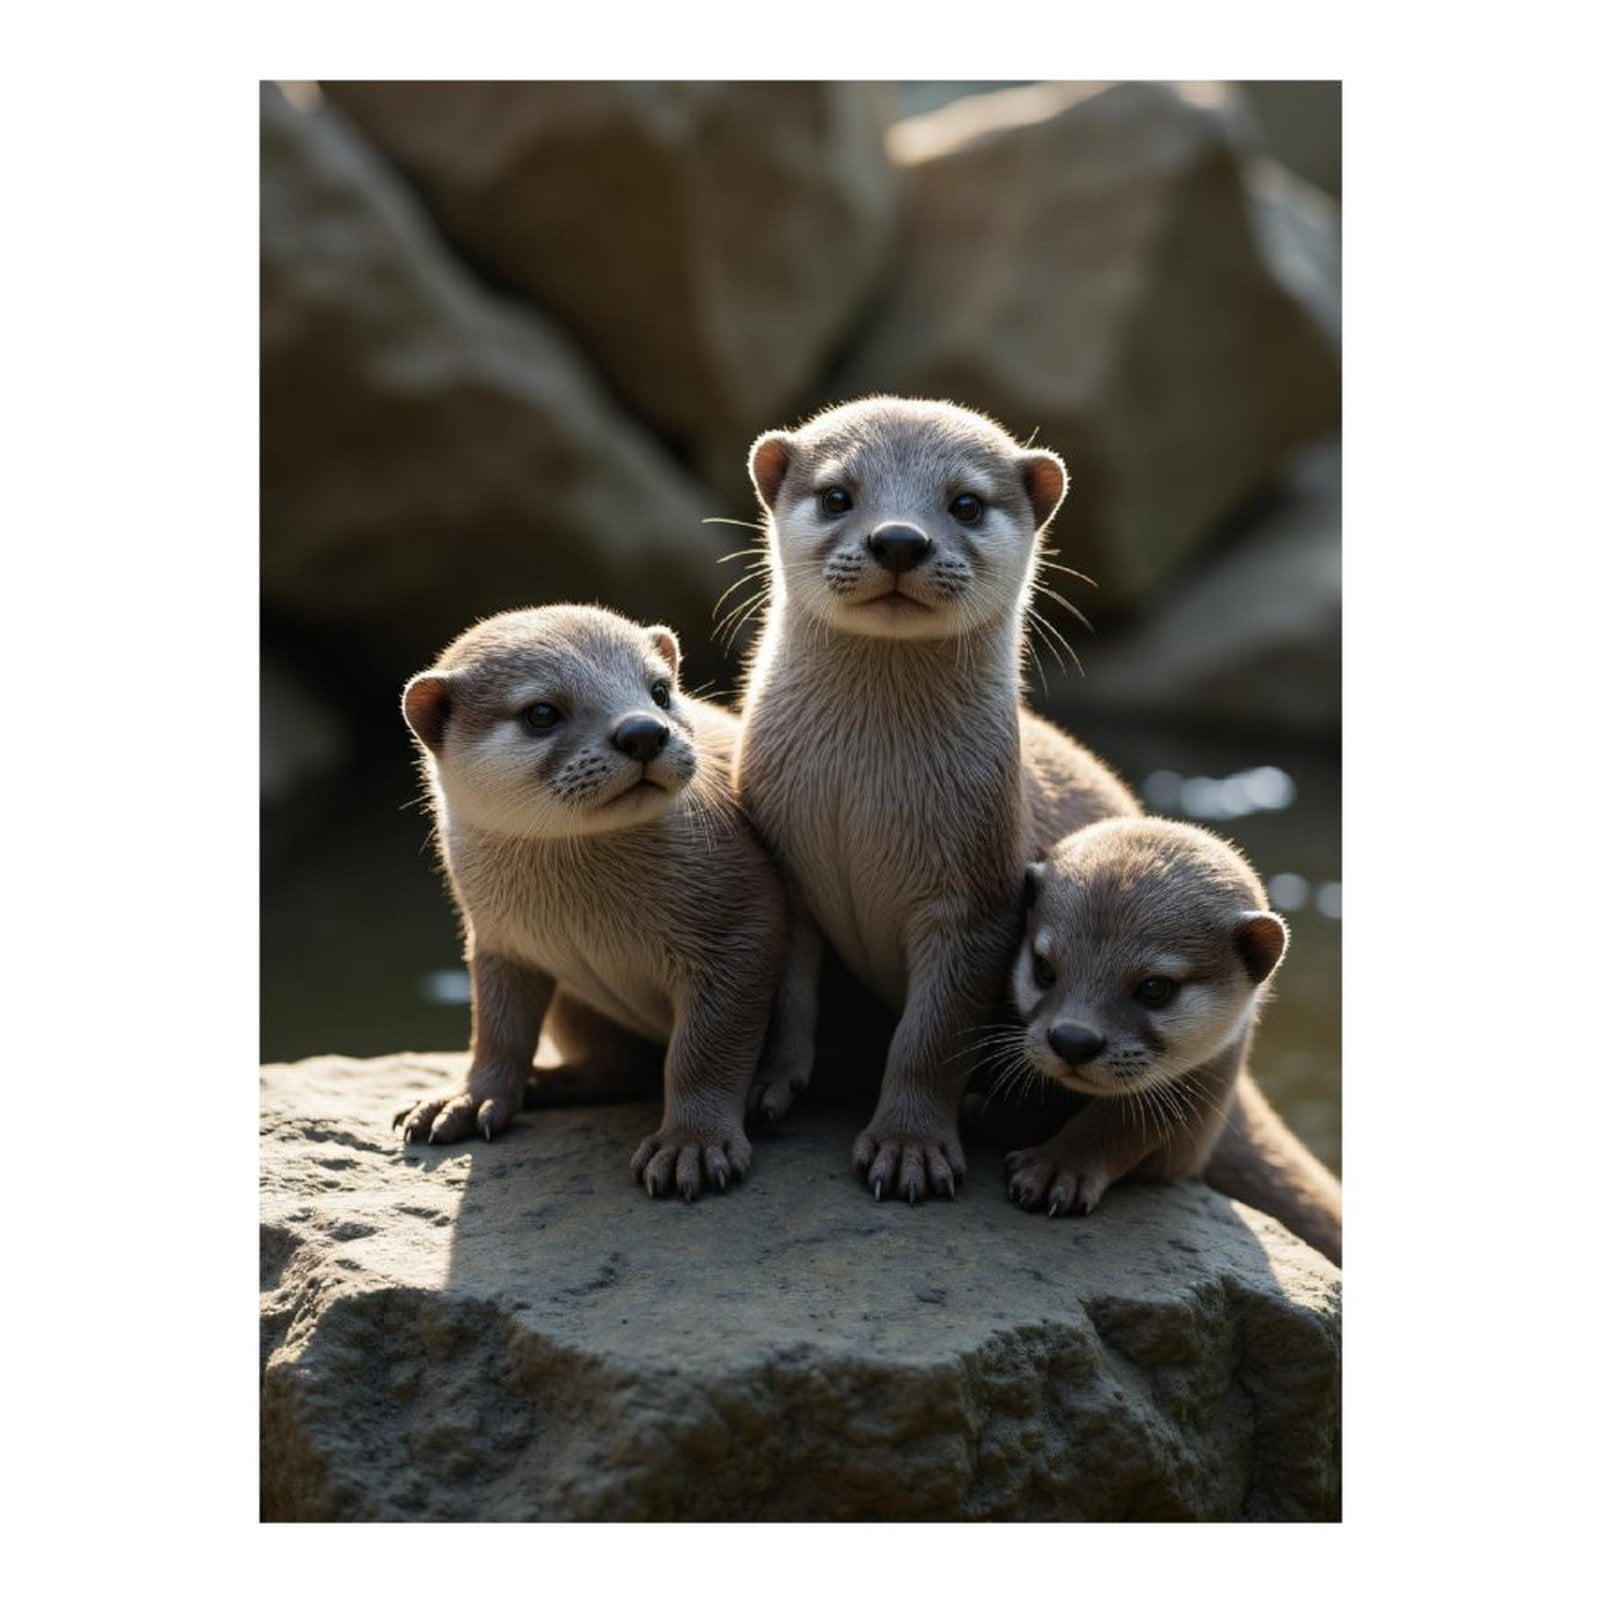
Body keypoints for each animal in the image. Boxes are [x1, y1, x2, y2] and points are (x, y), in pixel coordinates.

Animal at [393, 604, 786, 1200]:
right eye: (541, 713)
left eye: (659, 690)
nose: (644, 731)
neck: (585, 914)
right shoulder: (496, 941)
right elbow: (496, 1030)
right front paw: (466, 1099)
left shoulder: (743, 922)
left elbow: (705, 1051)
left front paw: (691, 1145)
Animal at [734, 396, 1140, 1203]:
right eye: (837, 495)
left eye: (966, 503)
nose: (898, 538)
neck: (858, 798)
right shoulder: (785, 865)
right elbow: (786, 999)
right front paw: (769, 1087)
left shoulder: (977, 899)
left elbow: (933, 1036)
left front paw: (908, 1146)